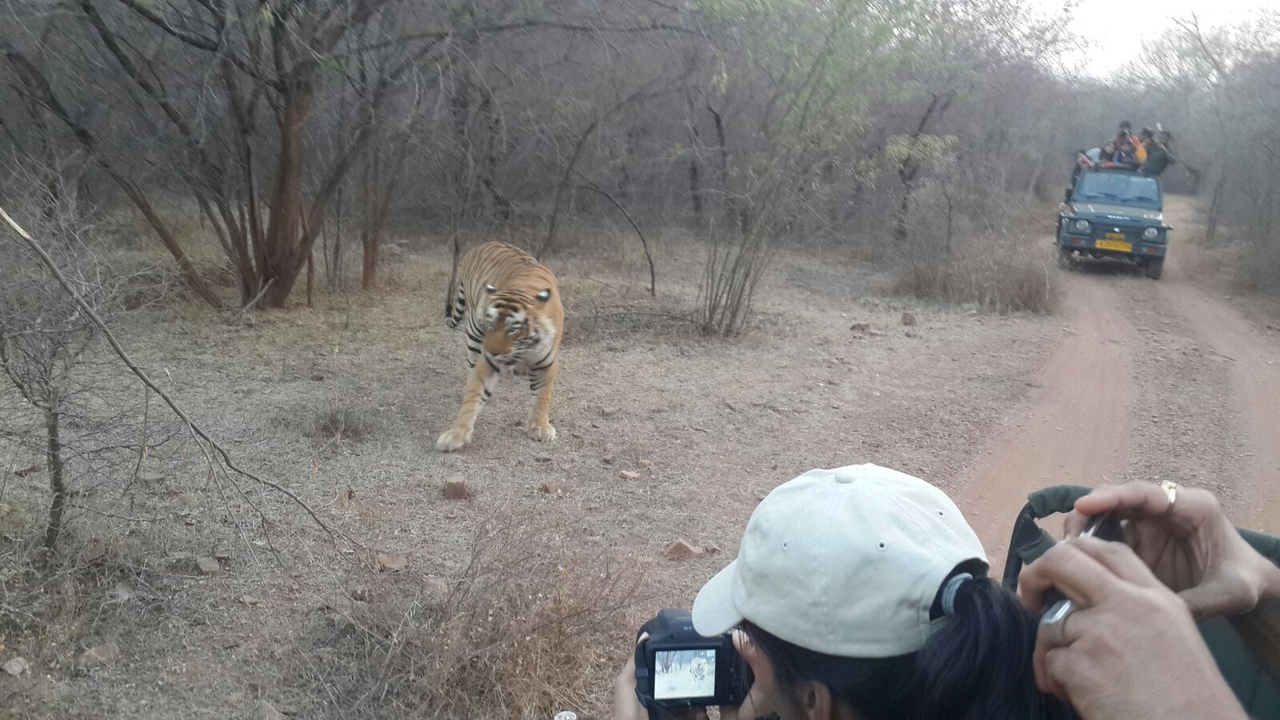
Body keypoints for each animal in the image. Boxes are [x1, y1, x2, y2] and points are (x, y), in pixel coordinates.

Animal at [436, 242, 564, 453]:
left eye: (512, 329)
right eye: (490, 324)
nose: (491, 351)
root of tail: (482, 244)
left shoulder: (546, 363)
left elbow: (542, 397)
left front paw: (540, 427)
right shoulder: (488, 362)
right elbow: (473, 397)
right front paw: (455, 435)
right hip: (473, 333)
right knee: (471, 366)